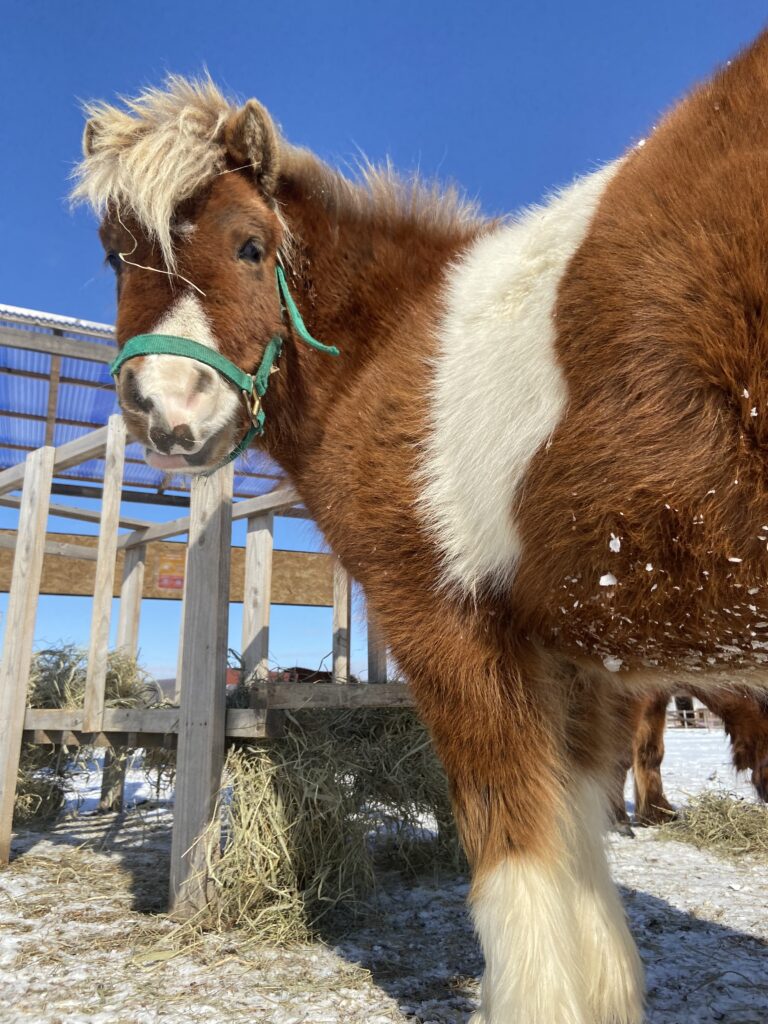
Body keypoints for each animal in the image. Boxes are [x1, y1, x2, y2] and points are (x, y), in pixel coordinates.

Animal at [72, 28, 768, 1019]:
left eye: (250, 245)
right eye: (113, 257)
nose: (167, 410)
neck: (395, 351)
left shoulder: (449, 629)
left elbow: (517, 853)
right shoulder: (578, 665)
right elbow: (579, 843)